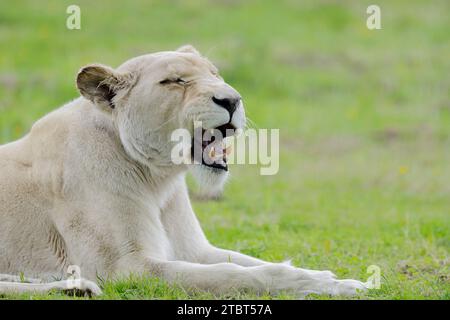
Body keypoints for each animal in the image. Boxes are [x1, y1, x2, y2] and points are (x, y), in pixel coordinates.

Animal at [0, 45, 366, 298]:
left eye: (216, 74)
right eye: (175, 81)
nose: (232, 100)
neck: (157, 179)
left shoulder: (194, 250)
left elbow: (247, 262)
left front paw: (333, 279)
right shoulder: (127, 268)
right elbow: (234, 275)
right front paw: (322, 284)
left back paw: (70, 286)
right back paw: (75, 286)